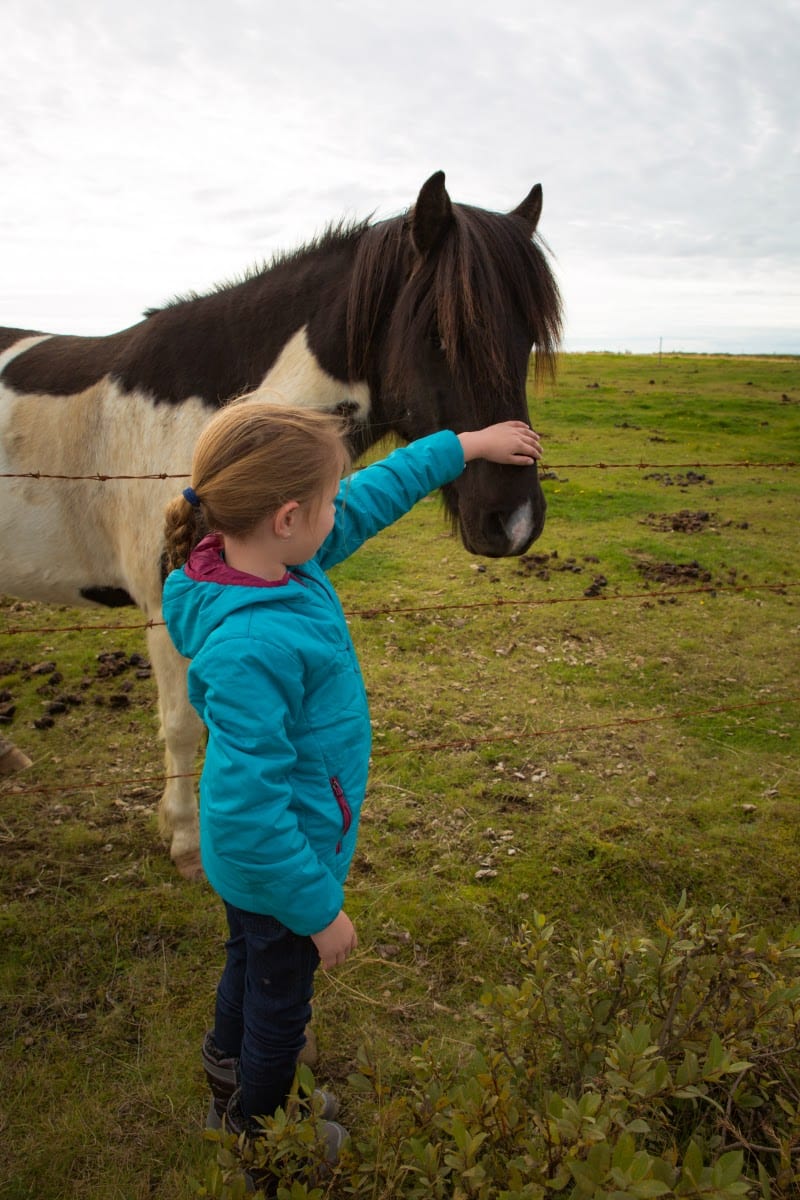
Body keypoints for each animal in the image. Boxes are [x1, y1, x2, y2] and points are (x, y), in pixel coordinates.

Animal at [1, 169, 563, 878]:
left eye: (526, 339)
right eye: (440, 334)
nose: (514, 521)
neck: (217, 416)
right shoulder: (163, 603)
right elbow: (183, 725)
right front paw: (186, 841)